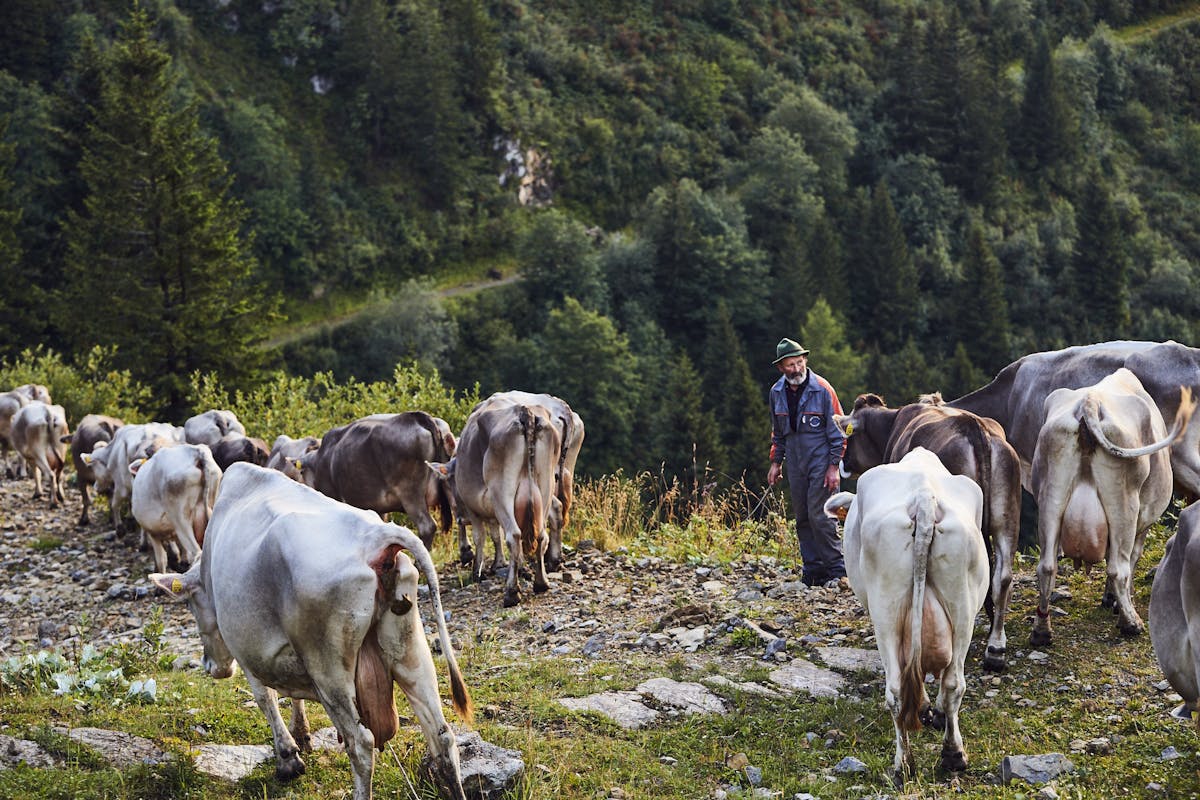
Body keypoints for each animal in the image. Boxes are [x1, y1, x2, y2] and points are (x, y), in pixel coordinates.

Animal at [147, 462, 470, 800]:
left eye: (191, 604)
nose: (211, 665)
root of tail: (377, 536)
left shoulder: (247, 650)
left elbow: (265, 697)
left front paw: (288, 758)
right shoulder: (284, 652)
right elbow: (291, 695)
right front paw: (302, 735)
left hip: (329, 670)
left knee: (361, 744)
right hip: (409, 650)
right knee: (442, 736)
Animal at [820, 448, 988, 786]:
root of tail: (923, 497)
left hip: (886, 613)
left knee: (900, 688)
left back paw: (907, 764)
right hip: (961, 608)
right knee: (950, 684)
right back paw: (949, 755)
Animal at [1032, 369, 1190, 642]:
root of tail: (1090, 401)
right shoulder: (1143, 520)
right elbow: (1130, 559)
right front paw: (1115, 601)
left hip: (1050, 495)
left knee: (1047, 567)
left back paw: (1042, 631)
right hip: (1124, 504)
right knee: (1119, 568)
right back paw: (1131, 623)